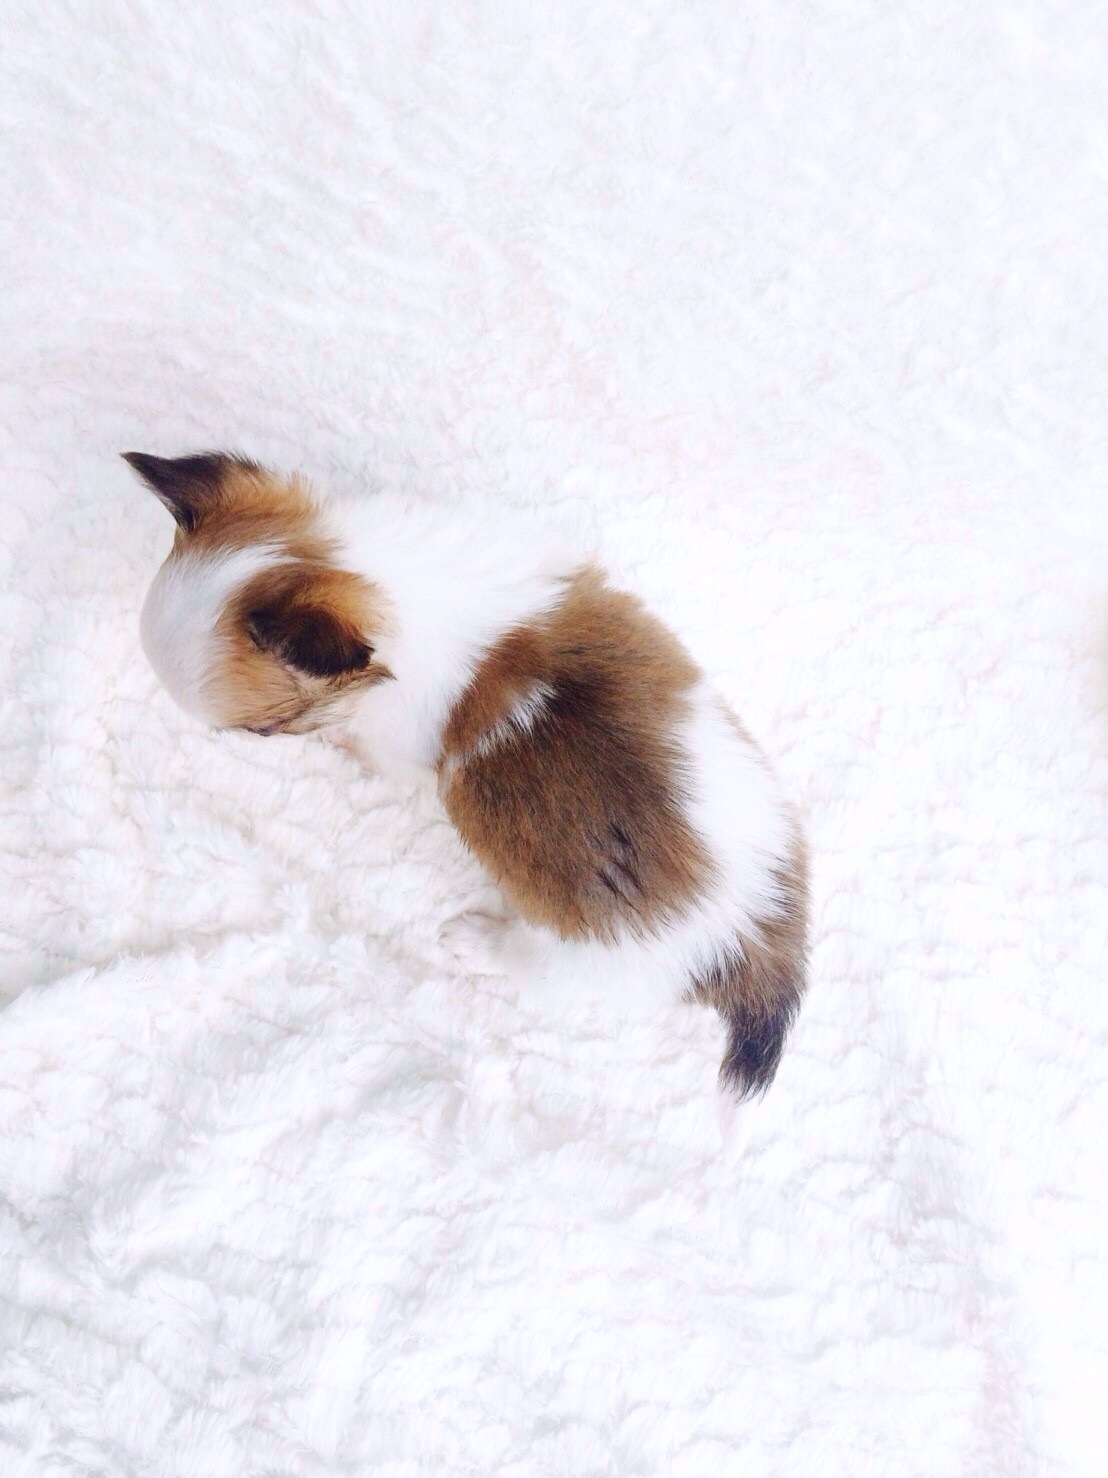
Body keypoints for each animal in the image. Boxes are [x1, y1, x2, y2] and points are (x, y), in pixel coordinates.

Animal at [127, 451, 808, 1097]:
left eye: (262, 733)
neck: (386, 578)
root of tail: (754, 943)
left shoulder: (396, 743)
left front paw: (339, 742)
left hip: (583, 959)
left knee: (530, 966)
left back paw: (474, 941)